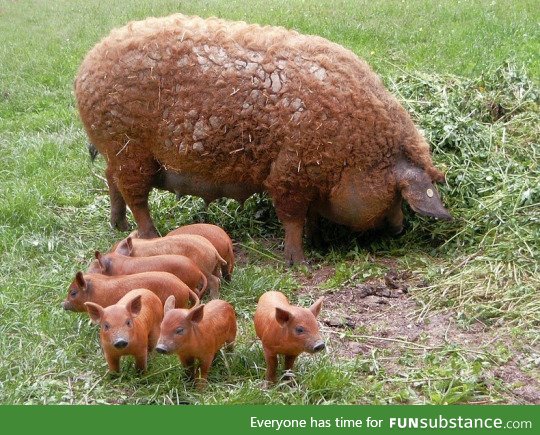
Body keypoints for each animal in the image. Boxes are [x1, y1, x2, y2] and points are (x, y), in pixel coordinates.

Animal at [76, 13, 452, 264]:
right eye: (397, 196)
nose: (400, 229)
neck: (353, 152)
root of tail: (86, 64)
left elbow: (310, 217)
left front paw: (319, 242)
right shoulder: (289, 172)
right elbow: (292, 218)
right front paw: (299, 261)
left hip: (119, 153)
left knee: (110, 180)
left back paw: (118, 225)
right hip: (128, 148)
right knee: (134, 195)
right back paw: (150, 235)